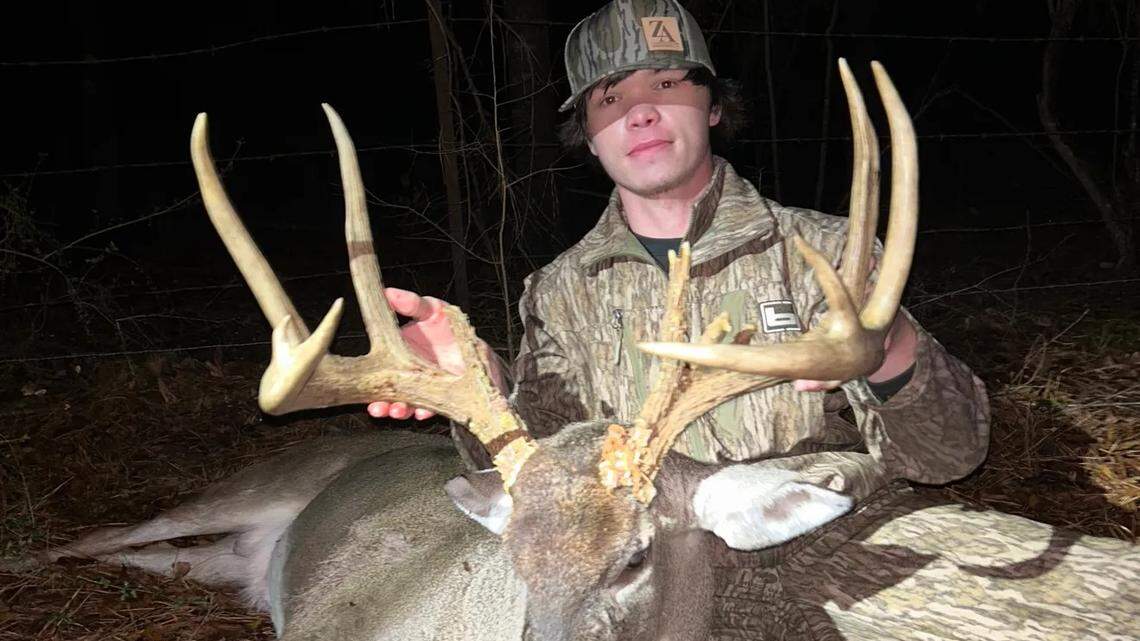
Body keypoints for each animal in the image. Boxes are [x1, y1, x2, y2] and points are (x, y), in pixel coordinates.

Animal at [43, 59, 917, 641]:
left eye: (634, 558)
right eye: (516, 557)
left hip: (230, 556)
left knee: (180, 560)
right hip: (256, 481)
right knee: (105, 534)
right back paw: (33, 558)